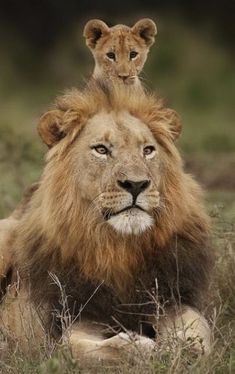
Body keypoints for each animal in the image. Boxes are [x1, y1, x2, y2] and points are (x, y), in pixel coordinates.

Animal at [0, 82, 213, 360]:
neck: (118, 247)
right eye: (101, 149)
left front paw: (180, 348)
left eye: (148, 150)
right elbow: (80, 348)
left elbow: (199, 333)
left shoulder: (172, 299)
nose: (136, 184)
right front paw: (143, 346)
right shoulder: (76, 317)